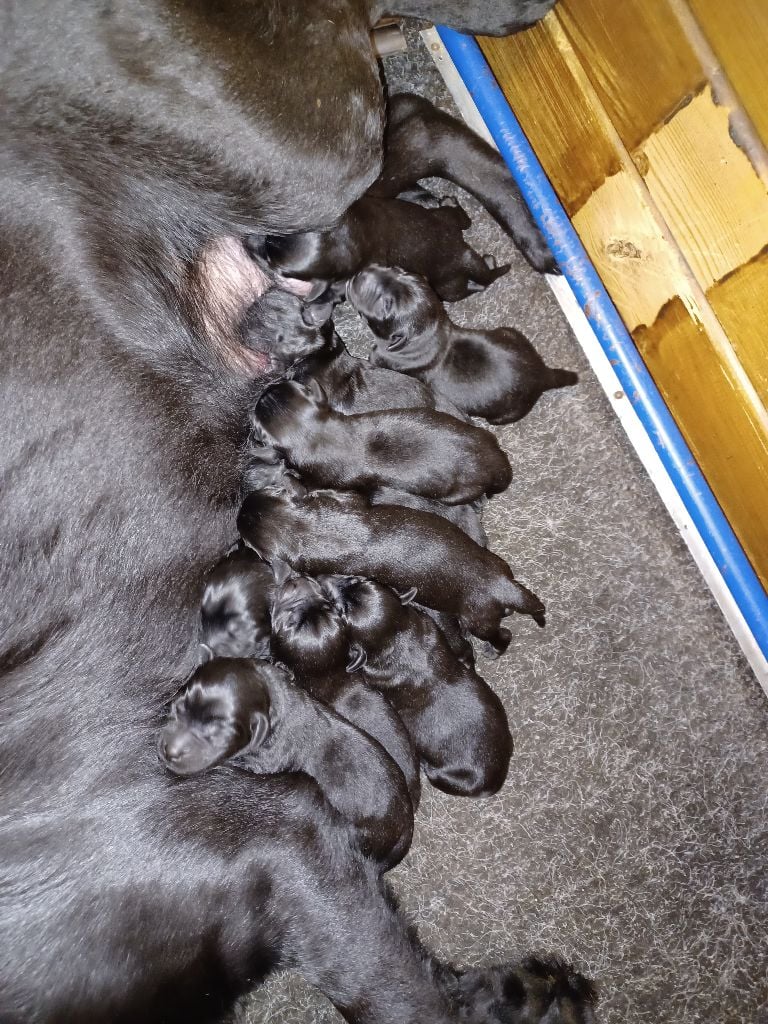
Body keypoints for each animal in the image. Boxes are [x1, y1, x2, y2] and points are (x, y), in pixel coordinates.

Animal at [237, 489, 544, 655]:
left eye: (245, 540)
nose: (241, 507)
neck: (303, 526)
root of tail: (502, 585)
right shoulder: (347, 502)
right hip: (499, 565)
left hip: (478, 620)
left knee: (503, 635)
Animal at [249, 193, 512, 301]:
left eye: (275, 265)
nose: (249, 239)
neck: (349, 237)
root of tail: (462, 251)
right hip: (445, 217)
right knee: (462, 218)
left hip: (448, 287)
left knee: (476, 285)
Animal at [321, 577, 514, 798]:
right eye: (359, 580)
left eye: (340, 611)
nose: (325, 580)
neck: (396, 636)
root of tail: (496, 780)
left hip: (448, 778)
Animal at [348, 268, 577, 423]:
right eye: (397, 270)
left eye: (385, 305)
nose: (361, 273)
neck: (429, 333)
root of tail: (543, 373)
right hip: (509, 332)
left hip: (505, 414)